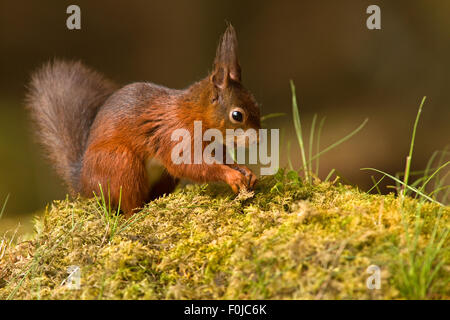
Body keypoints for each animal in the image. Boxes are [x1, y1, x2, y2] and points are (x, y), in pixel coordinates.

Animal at [27, 23, 260, 216]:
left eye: (257, 105)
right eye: (237, 115)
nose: (258, 140)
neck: (195, 113)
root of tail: (84, 185)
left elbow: (223, 158)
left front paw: (246, 171)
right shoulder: (175, 134)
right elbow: (189, 164)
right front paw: (231, 176)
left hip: (162, 176)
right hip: (120, 163)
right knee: (127, 203)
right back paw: (137, 214)